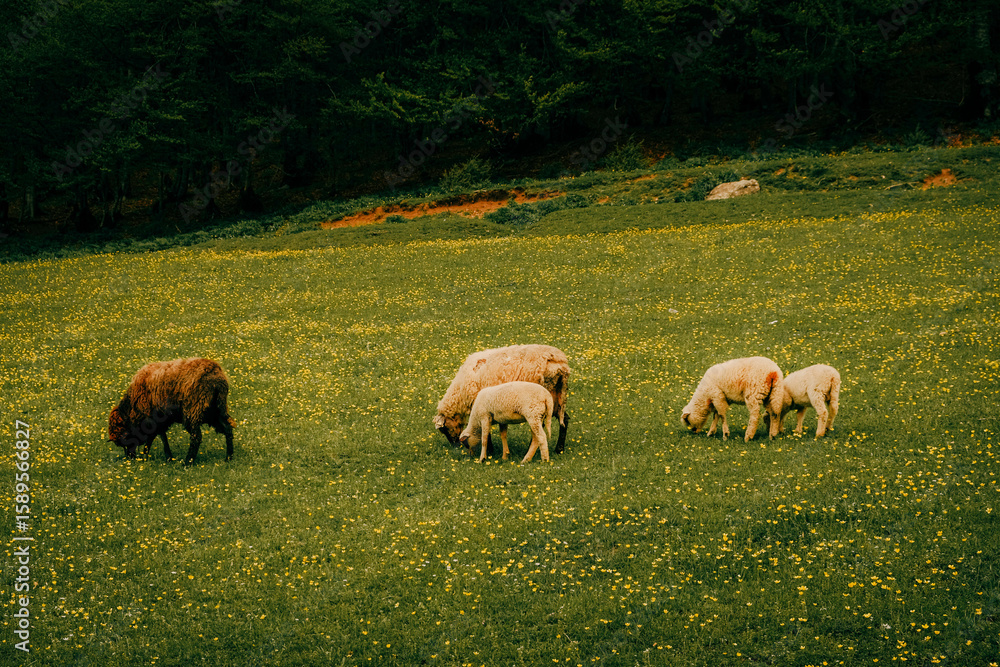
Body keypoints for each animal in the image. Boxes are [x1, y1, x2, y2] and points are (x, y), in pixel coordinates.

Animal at [434, 344, 569, 454]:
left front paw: (490, 451)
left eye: (444, 429)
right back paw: (559, 449)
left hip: (541, 399)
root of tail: (560, 364)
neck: (459, 393)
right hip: (557, 399)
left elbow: (485, 430)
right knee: (565, 420)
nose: (456, 446)